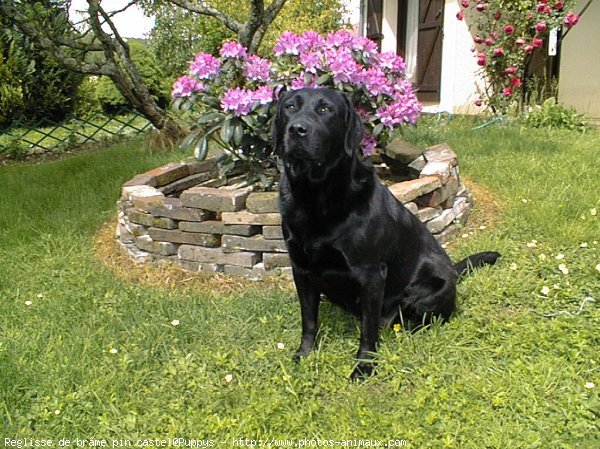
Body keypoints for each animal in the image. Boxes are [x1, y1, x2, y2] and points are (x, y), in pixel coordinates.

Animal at [274, 86, 500, 378]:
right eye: (290, 107)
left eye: (325, 109)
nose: (297, 129)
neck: (315, 195)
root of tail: (453, 270)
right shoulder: (301, 269)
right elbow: (309, 320)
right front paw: (304, 353)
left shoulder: (370, 274)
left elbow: (368, 329)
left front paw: (364, 365)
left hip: (430, 288)